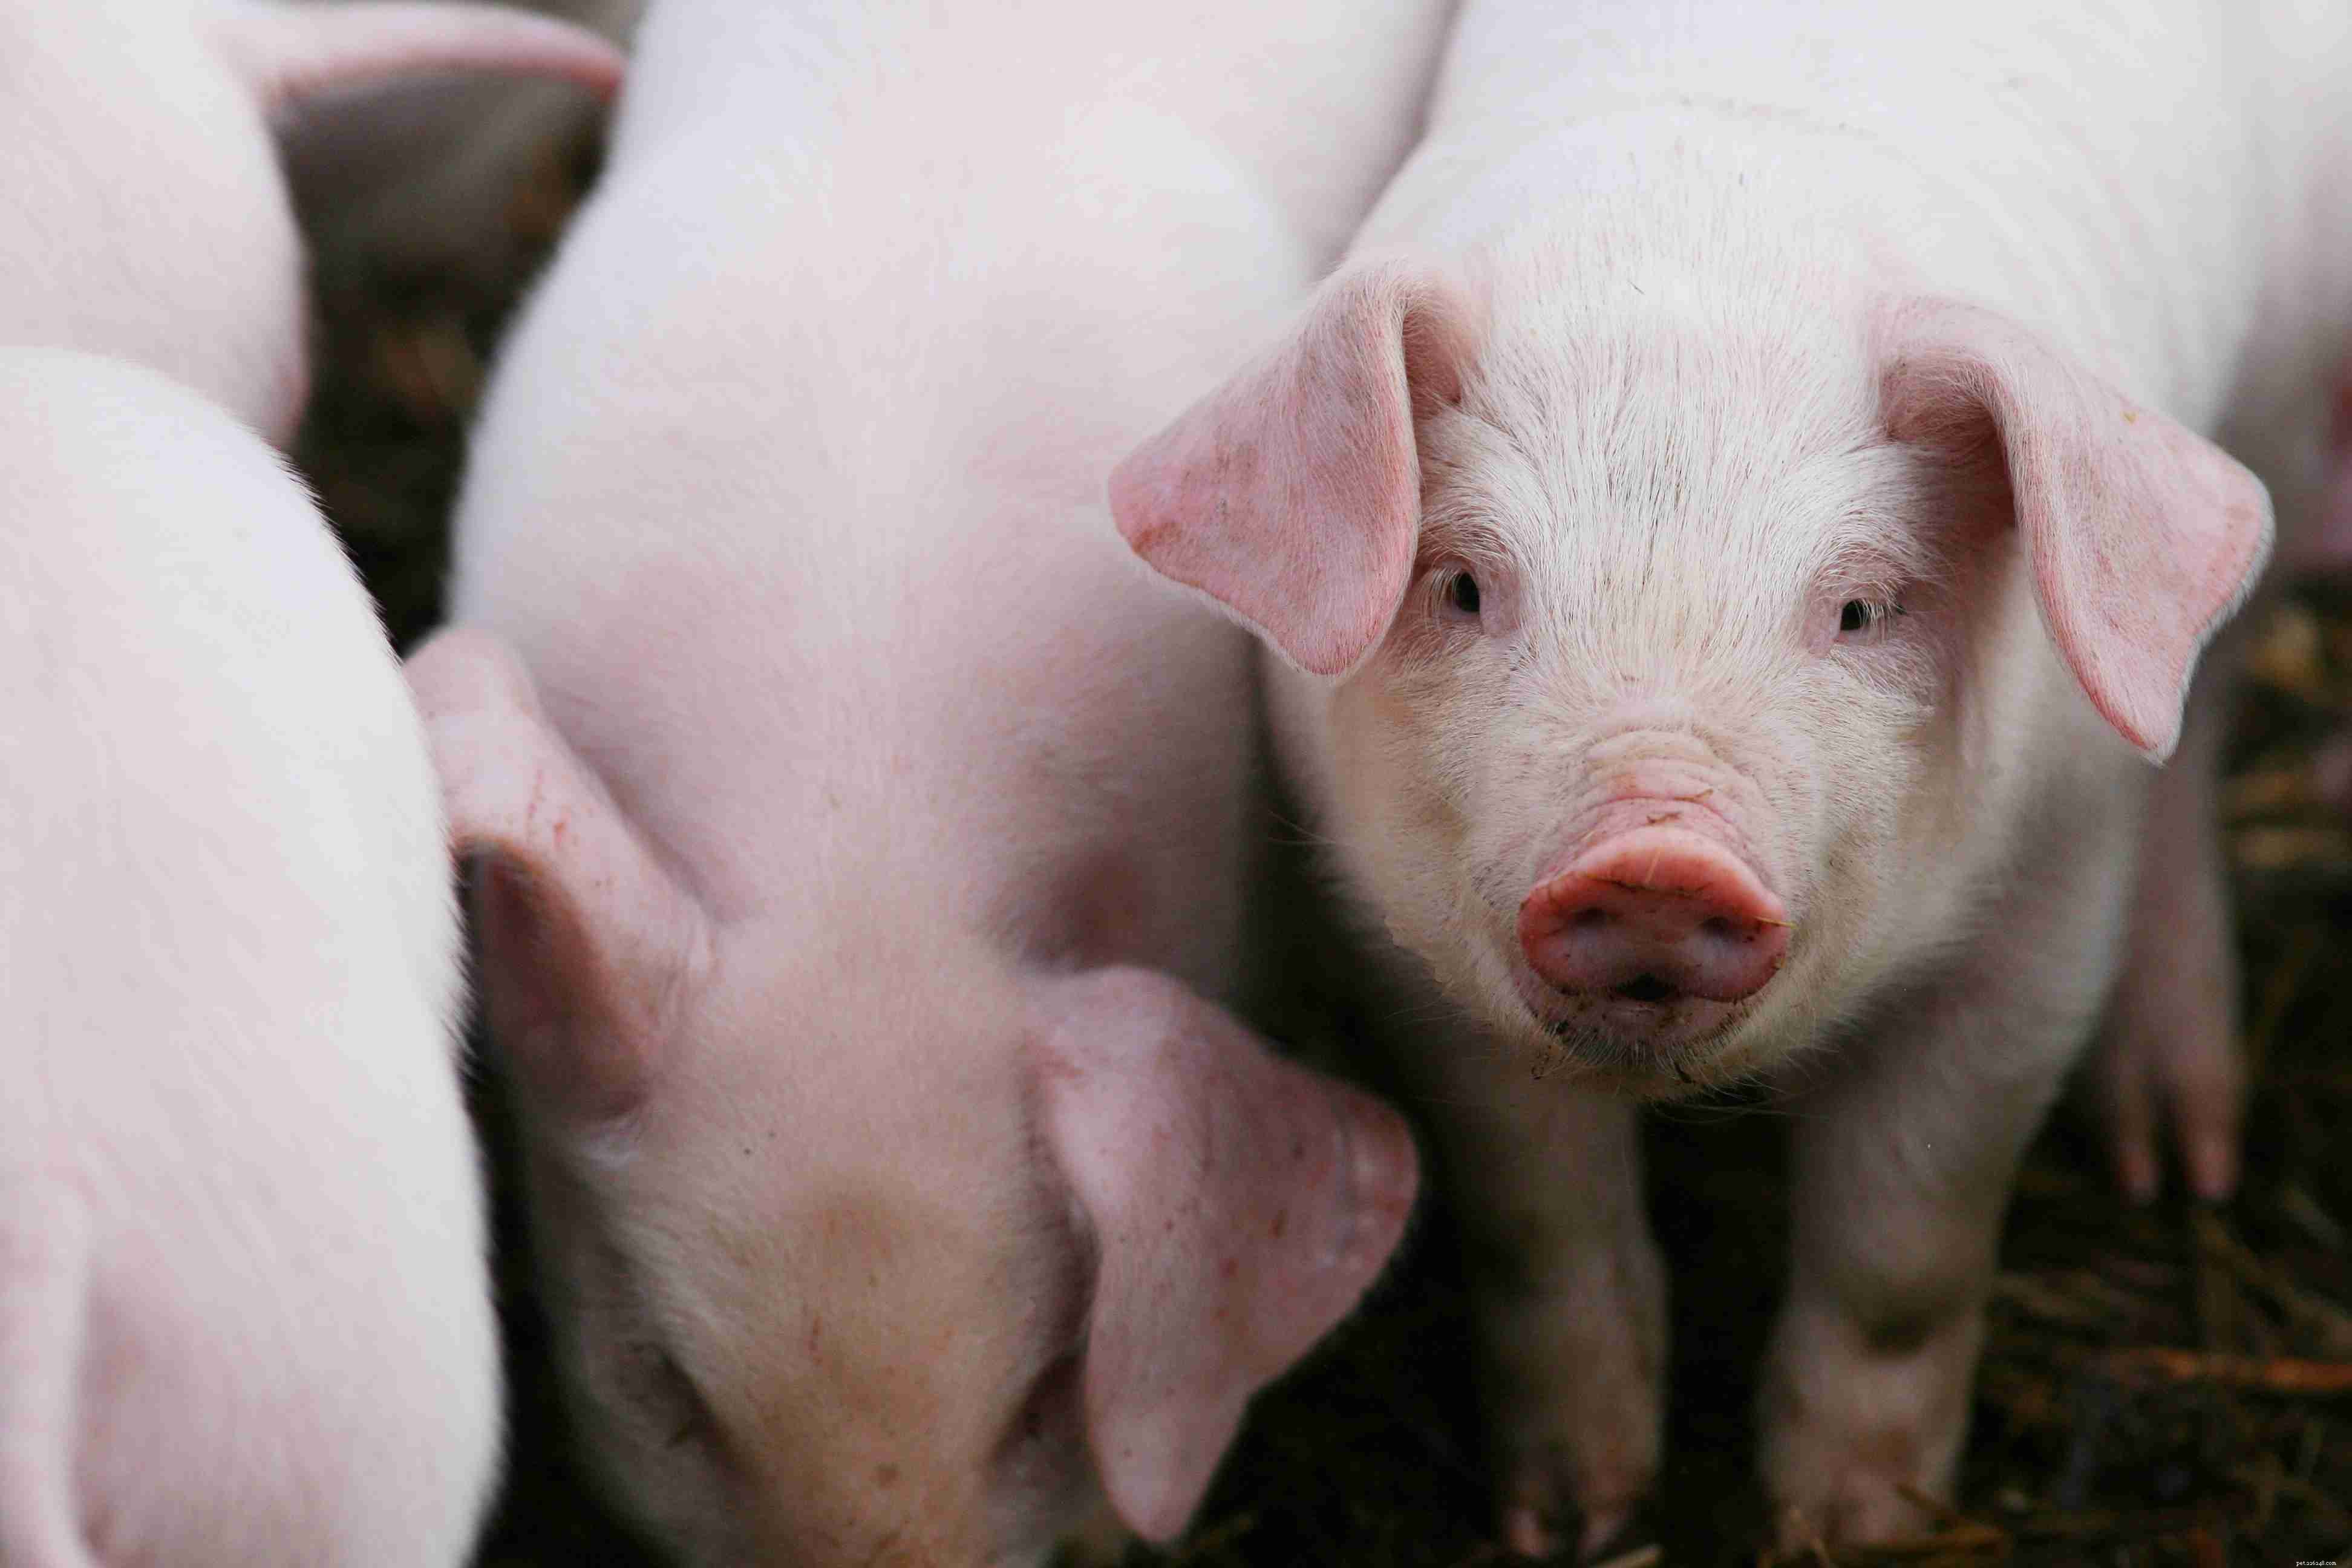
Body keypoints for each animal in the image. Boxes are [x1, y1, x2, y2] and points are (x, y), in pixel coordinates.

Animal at [1109, 0, 2352, 1551]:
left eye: (1860, 609)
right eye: (1461, 585)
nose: (1654, 858)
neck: (1702, 241)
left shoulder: (2039, 920)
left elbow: (1902, 1253)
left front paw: (1850, 1528)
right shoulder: (1403, 948)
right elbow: (1537, 1224)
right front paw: (1571, 1520)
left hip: (2273, 422)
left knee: (2198, 716)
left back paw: (2176, 1163)